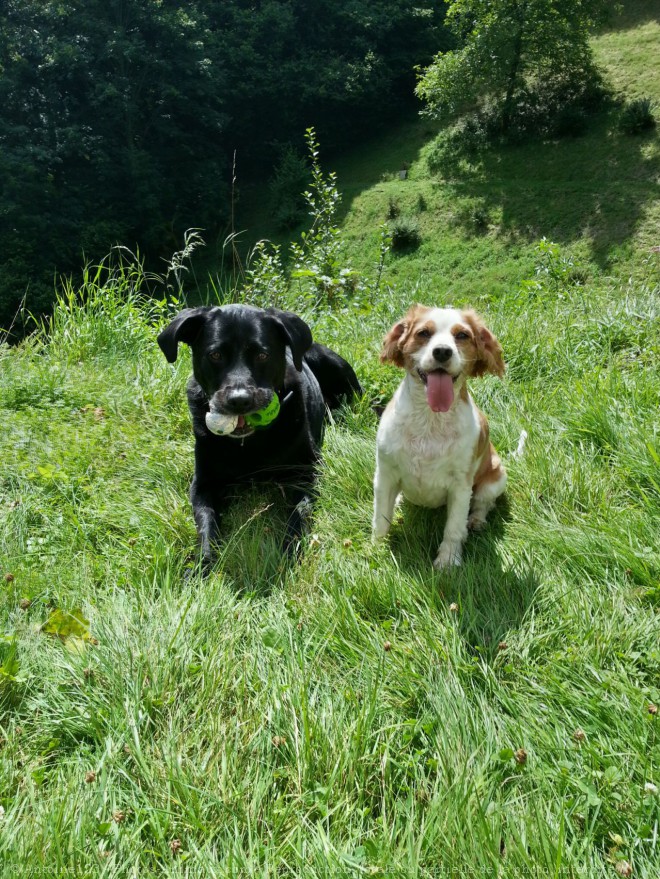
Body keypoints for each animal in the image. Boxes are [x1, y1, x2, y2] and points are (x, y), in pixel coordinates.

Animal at [158, 304, 360, 572]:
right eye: (215, 355)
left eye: (262, 356)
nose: (239, 400)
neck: (248, 444)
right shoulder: (203, 483)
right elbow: (206, 524)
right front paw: (203, 564)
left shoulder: (307, 473)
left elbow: (299, 514)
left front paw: (288, 553)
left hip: (335, 366)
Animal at [374, 308, 508, 572]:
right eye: (423, 333)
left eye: (463, 335)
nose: (443, 351)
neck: (430, 420)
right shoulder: (384, 474)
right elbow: (381, 518)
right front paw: (377, 549)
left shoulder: (461, 486)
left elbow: (454, 529)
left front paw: (448, 561)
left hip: (496, 479)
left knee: (483, 504)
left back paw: (476, 520)